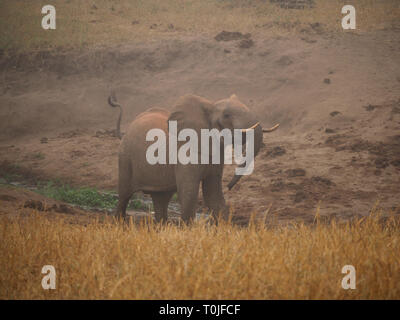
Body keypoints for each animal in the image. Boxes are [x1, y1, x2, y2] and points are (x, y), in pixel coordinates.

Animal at [108, 92, 280, 224]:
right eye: (226, 115)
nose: (229, 187)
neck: (209, 105)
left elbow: (213, 194)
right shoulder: (184, 154)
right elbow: (189, 193)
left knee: (161, 198)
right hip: (125, 158)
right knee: (124, 195)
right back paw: (119, 224)